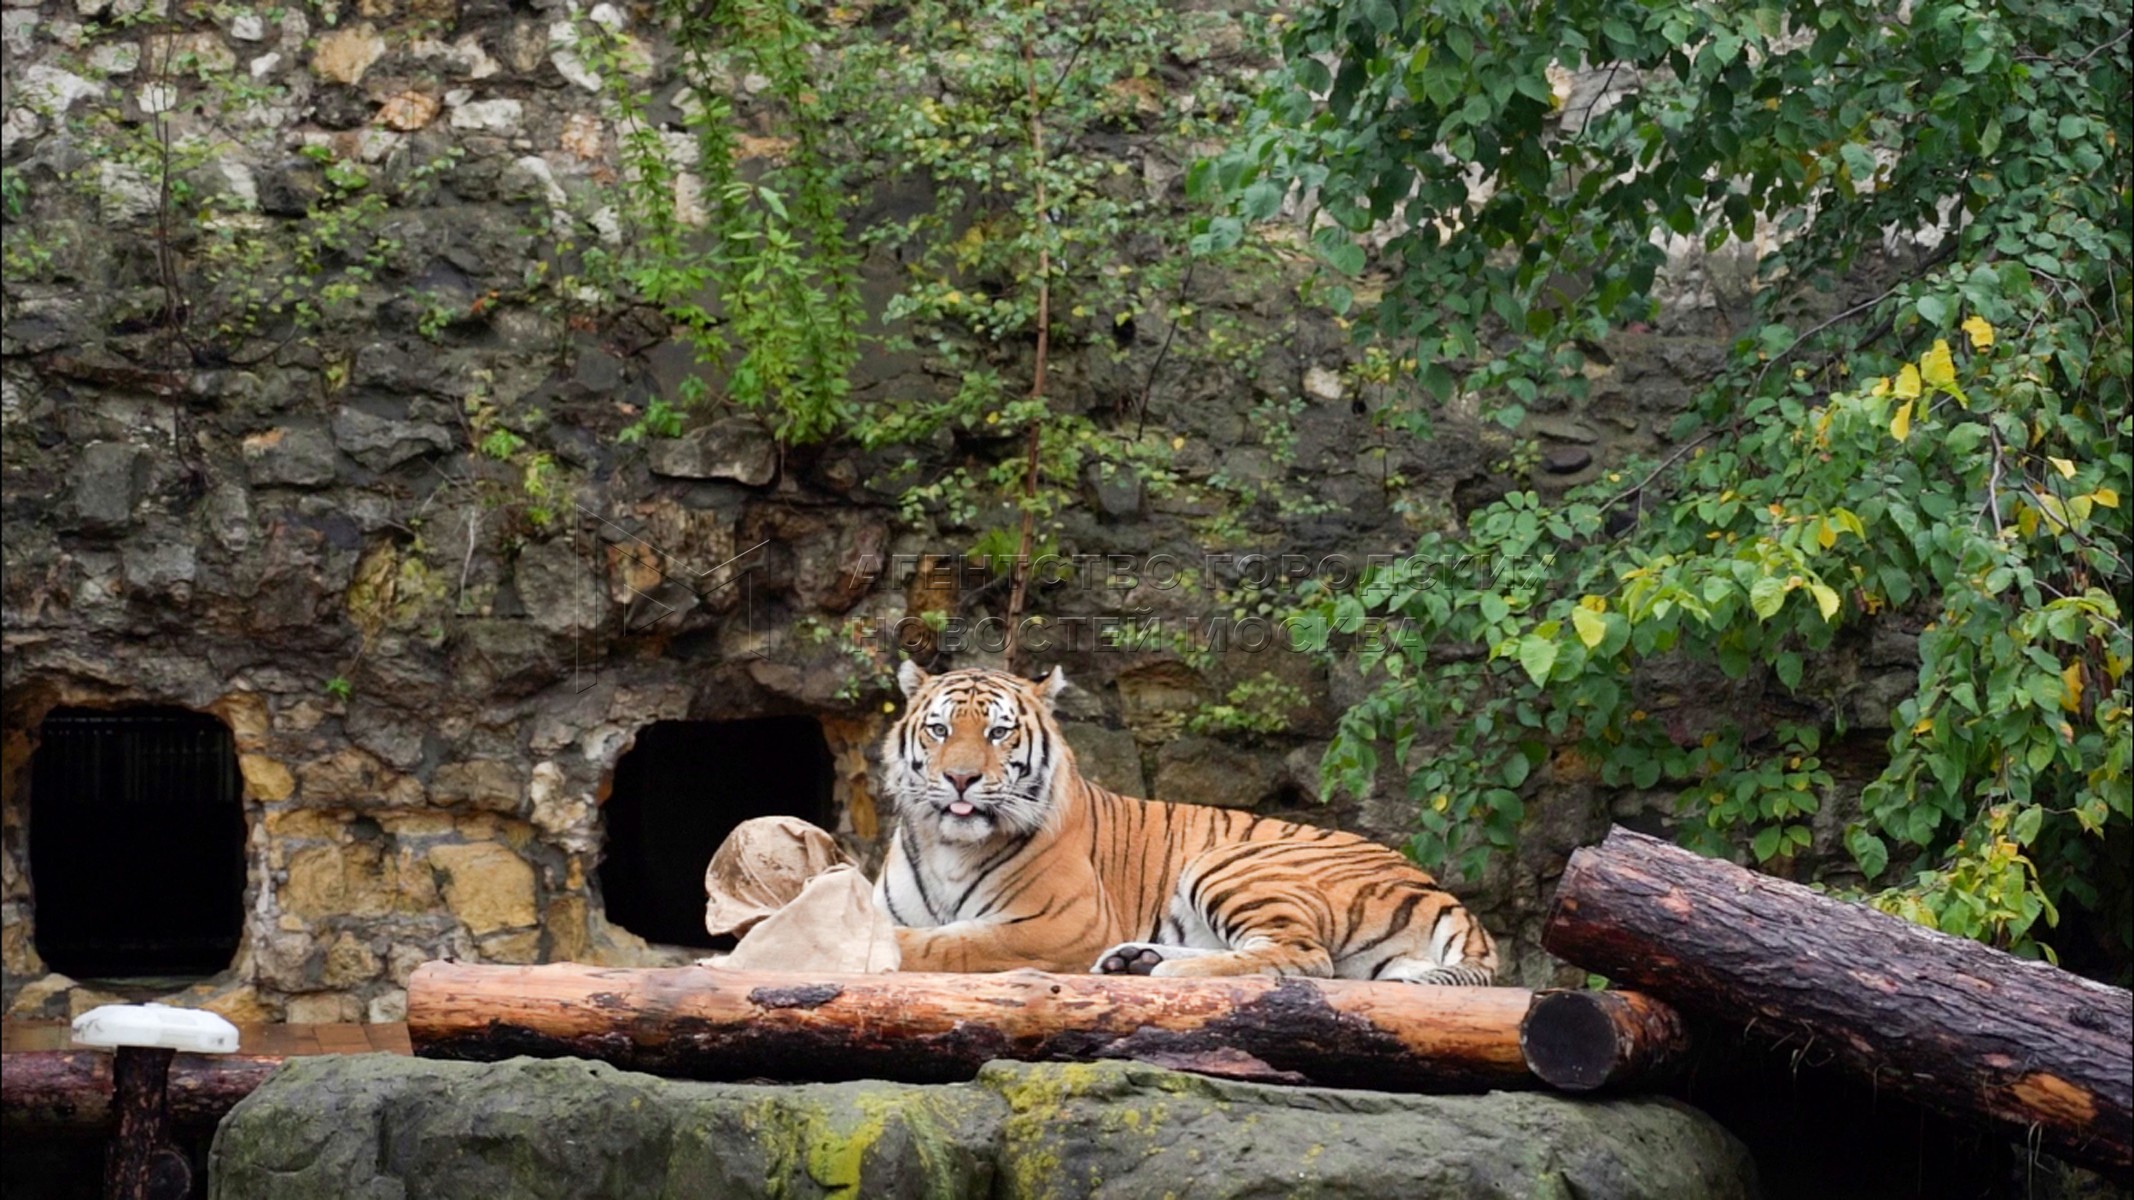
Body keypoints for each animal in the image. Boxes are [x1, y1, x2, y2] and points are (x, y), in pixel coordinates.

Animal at [870, 661, 1502, 982]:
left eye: (998, 731)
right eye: (939, 730)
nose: (960, 779)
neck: (951, 845)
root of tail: (1441, 891)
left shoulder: (1059, 923)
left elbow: (953, 943)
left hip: (1229, 864)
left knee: (1302, 956)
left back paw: (1167, 973)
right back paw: (1135, 960)